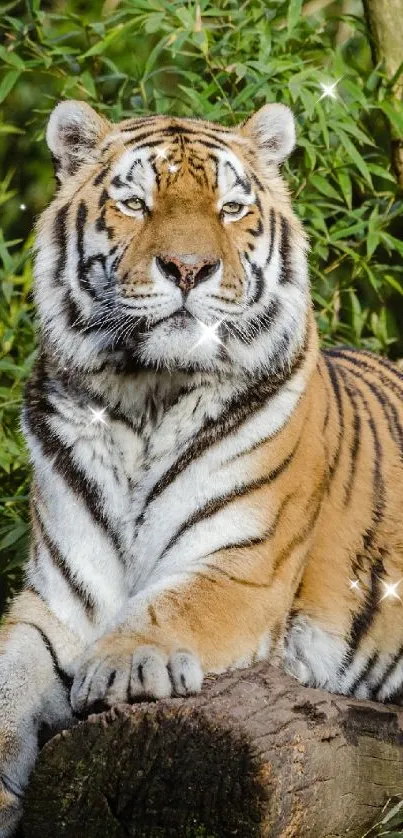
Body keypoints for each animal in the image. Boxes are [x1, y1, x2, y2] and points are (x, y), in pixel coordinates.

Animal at [0, 97, 403, 832]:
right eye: (136, 203)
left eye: (230, 208)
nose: (188, 269)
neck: (144, 399)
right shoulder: (58, 600)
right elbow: (9, 681)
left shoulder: (241, 566)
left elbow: (169, 606)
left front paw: (126, 666)